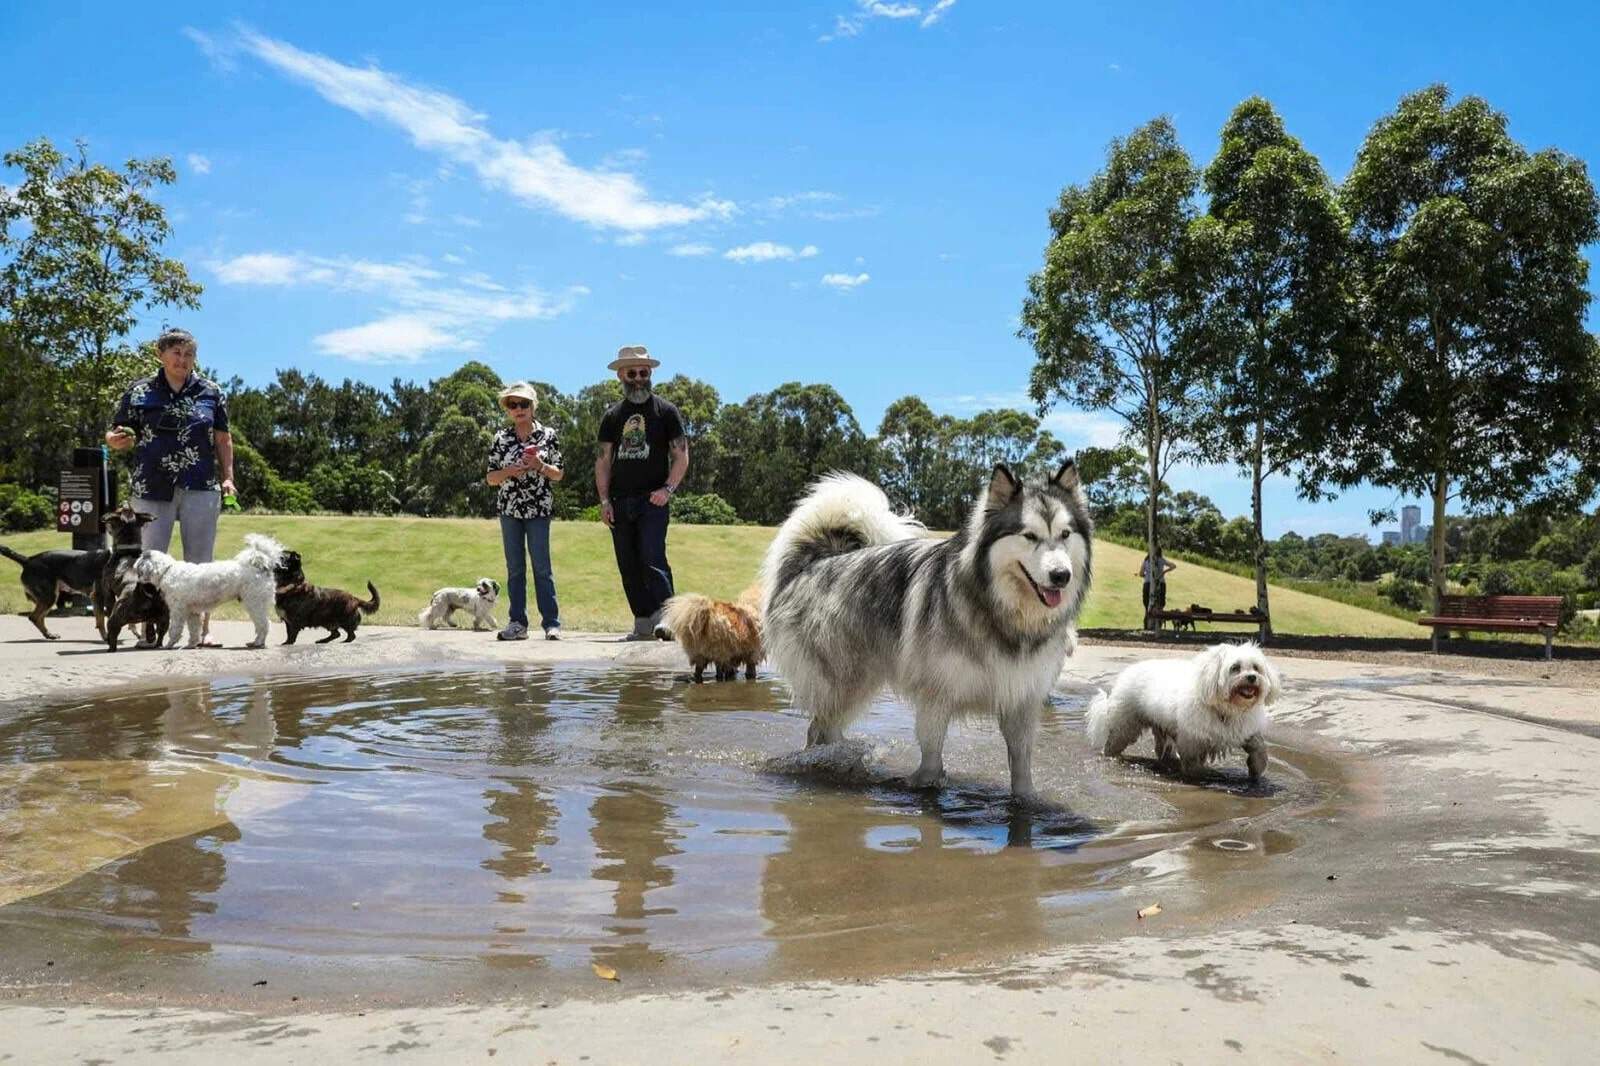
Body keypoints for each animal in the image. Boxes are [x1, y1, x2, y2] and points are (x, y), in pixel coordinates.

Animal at [2, 502, 152, 633]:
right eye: (120, 509)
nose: (124, 502)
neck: (125, 551)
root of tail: (28, 560)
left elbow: (105, 620)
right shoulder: (99, 595)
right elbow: (102, 621)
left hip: (49, 597)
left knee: (37, 617)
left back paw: (49, 635)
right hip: (49, 596)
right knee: (34, 617)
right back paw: (49, 634)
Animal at [132, 531, 286, 646]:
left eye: (139, 566)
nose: (137, 578)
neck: (168, 570)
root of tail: (262, 565)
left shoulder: (178, 611)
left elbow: (175, 629)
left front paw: (170, 643)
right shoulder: (192, 612)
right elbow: (194, 629)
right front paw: (192, 644)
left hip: (255, 603)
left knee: (264, 625)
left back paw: (258, 643)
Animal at [1081, 640, 1280, 781]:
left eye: (1256, 667)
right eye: (1235, 668)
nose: (1252, 677)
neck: (1226, 709)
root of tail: (1127, 672)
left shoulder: (1244, 730)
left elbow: (1259, 746)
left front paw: (1257, 767)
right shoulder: (1192, 738)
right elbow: (1192, 763)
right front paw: (1202, 774)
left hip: (1159, 727)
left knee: (1161, 749)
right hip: (1126, 726)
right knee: (1112, 745)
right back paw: (1111, 759)